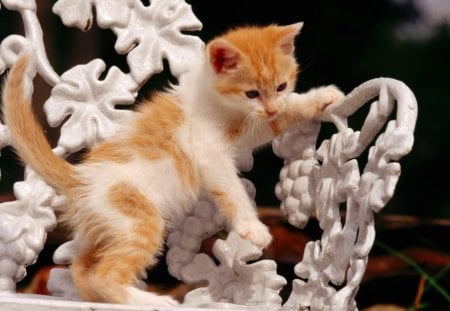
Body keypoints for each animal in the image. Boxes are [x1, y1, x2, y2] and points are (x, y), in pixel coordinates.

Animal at [1, 23, 344, 308]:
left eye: (281, 86)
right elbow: (231, 188)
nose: (270, 106)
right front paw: (252, 228)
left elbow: (277, 118)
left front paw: (320, 98)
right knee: (105, 273)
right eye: (251, 92)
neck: (214, 99)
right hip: (138, 220)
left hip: (105, 227)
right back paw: (147, 300)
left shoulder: (250, 126)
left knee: (83, 267)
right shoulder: (209, 151)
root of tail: (80, 177)